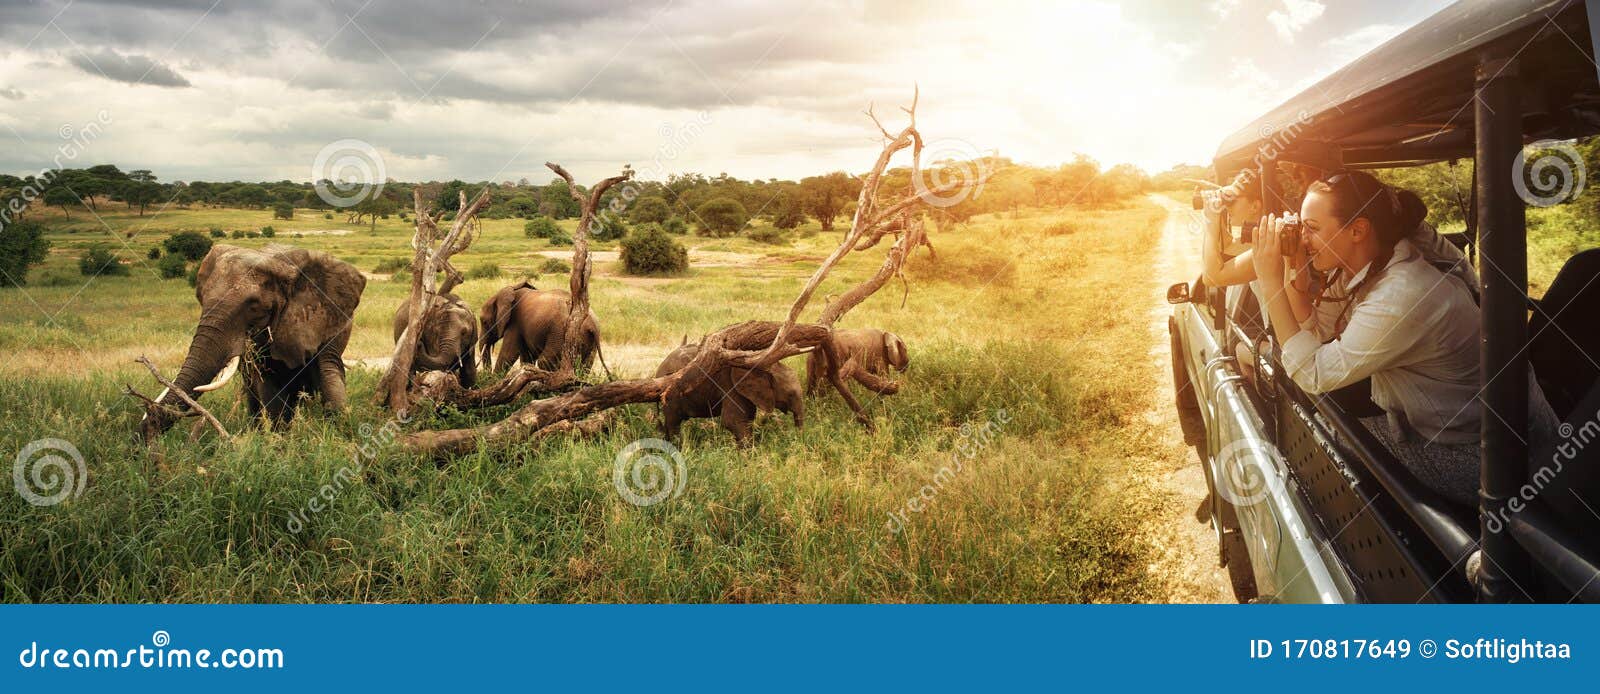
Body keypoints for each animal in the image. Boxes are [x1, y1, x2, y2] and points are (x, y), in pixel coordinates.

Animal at [140, 244, 366, 438]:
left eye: (254, 306)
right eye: (201, 298)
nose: (144, 437)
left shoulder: (329, 318)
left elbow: (329, 372)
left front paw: (338, 434)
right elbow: (268, 386)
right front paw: (278, 439)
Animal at [473, 281, 604, 377]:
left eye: (484, 322)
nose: (486, 375)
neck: (511, 289)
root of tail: (592, 323)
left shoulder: (515, 323)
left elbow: (508, 354)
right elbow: (527, 358)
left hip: (560, 333)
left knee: (544, 361)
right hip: (589, 342)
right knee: (585, 366)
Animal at [652, 340, 806, 447]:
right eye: (791, 394)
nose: (798, 440)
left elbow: (746, 420)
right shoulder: (731, 388)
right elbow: (731, 421)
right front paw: (750, 456)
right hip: (671, 397)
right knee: (673, 423)